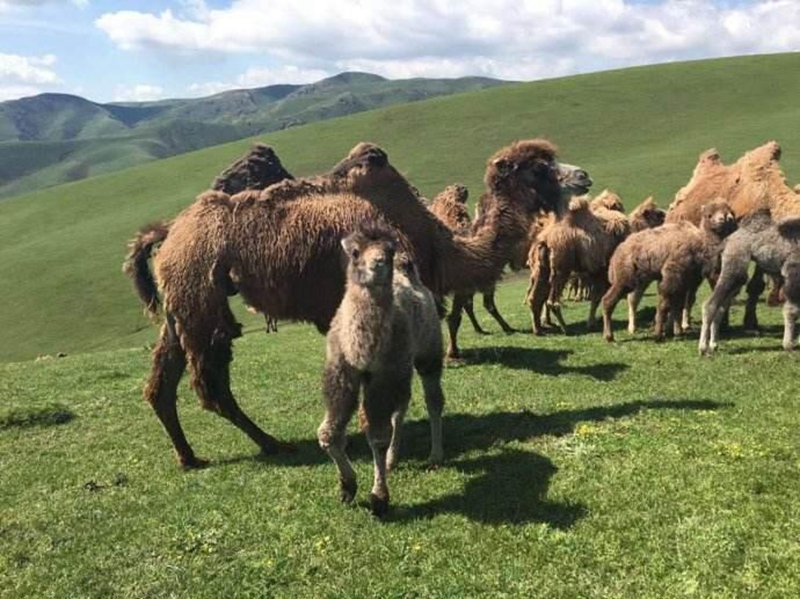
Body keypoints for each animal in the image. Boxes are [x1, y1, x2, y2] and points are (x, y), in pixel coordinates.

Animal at [123, 138, 588, 466]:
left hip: (180, 305)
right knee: (211, 384)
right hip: (201, 299)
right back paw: (270, 444)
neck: (431, 239)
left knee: (161, 383)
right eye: (539, 167)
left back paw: (190, 457)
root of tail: (168, 233)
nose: (583, 175)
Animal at [318, 220, 444, 516]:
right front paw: (347, 486)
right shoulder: (342, 374)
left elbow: (377, 437)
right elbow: (328, 433)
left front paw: (379, 498)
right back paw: (392, 460)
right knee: (401, 408)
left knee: (432, 400)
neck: (362, 350)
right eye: (354, 252)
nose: (378, 263)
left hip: (427, 352)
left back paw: (435, 455)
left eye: (388, 250)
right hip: (399, 369)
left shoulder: (385, 375)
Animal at [604, 202, 736, 342]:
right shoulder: (672, 273)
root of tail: (616, 254)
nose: (722, 219)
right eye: (709, 215)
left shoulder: (685, 280)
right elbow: (664, 304)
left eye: (729, 213)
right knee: (609, 300)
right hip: (625, 277)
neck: (698, 246)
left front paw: (676, 332)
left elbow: (677, 305)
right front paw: (658, 334)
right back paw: (609, 336)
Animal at [704, 210, 800, 354]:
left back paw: (714, 344)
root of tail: (727, 240)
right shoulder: (793, 270)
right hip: (735, 264)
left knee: (720, 307)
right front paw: (788, 345)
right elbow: (792, 310)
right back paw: (703, 348)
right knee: (710, 305)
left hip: (736, 273)